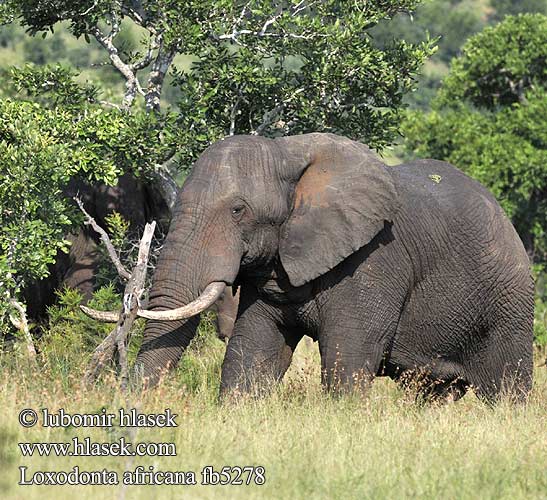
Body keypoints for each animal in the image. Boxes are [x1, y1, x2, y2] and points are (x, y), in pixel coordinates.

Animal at [113, 133, 532, 402]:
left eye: (237, 210)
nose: (125, 397)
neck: (286, 154)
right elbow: (253, 351)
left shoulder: (373, 261)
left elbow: (348, 356)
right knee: (432, 394)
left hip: (508, 302)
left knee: (507, 389)